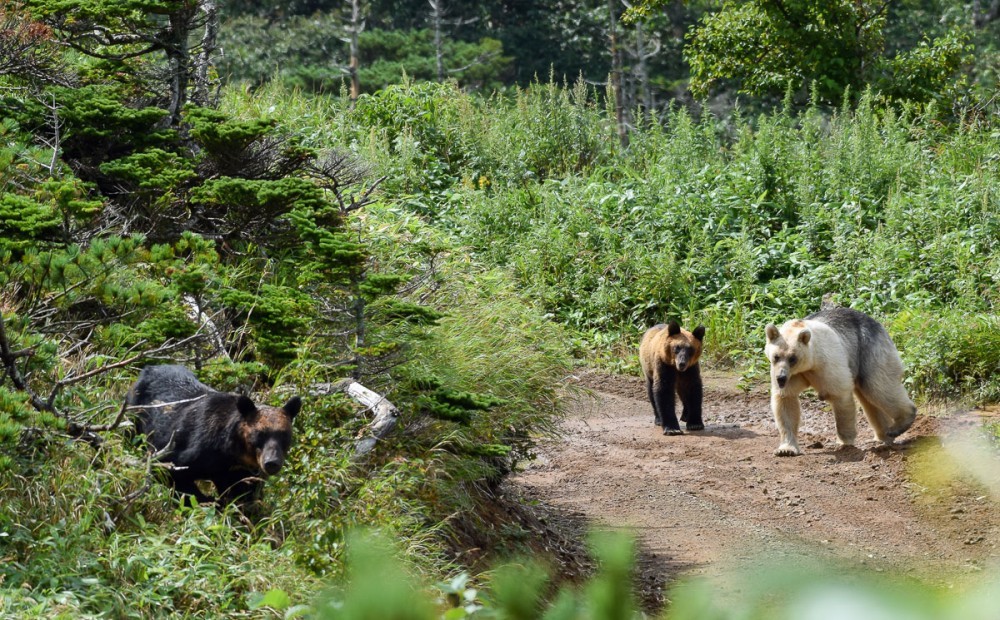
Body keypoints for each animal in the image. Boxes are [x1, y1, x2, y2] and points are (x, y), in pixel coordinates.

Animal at [124, 364, 300, 504]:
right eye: (259, 434)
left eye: (284, 435)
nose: (272, 462)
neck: (231, 452)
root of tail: (148, 368)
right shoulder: (190, 451)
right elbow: (169, 471)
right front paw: (206, 501)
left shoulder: (239, 472)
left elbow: (243, 496)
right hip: (133, 414)